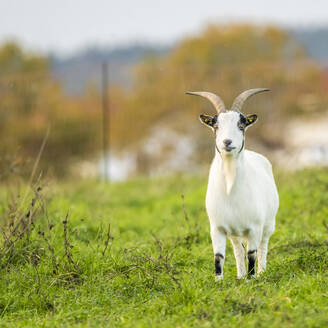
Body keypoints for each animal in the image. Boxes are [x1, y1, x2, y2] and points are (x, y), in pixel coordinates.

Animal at [186, 89, 278, 280]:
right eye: (216, 126)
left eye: (241, 125)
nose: (227, 142)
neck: (230, 189)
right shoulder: (217, 228)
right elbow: (218, 257)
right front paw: (219, 281)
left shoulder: (254, 227)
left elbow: (252, 253)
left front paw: (252, 279)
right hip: (234, 232)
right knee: (237, 249)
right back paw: (240, 275)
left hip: (268, 224)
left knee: (262, 247)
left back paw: (261, 272)